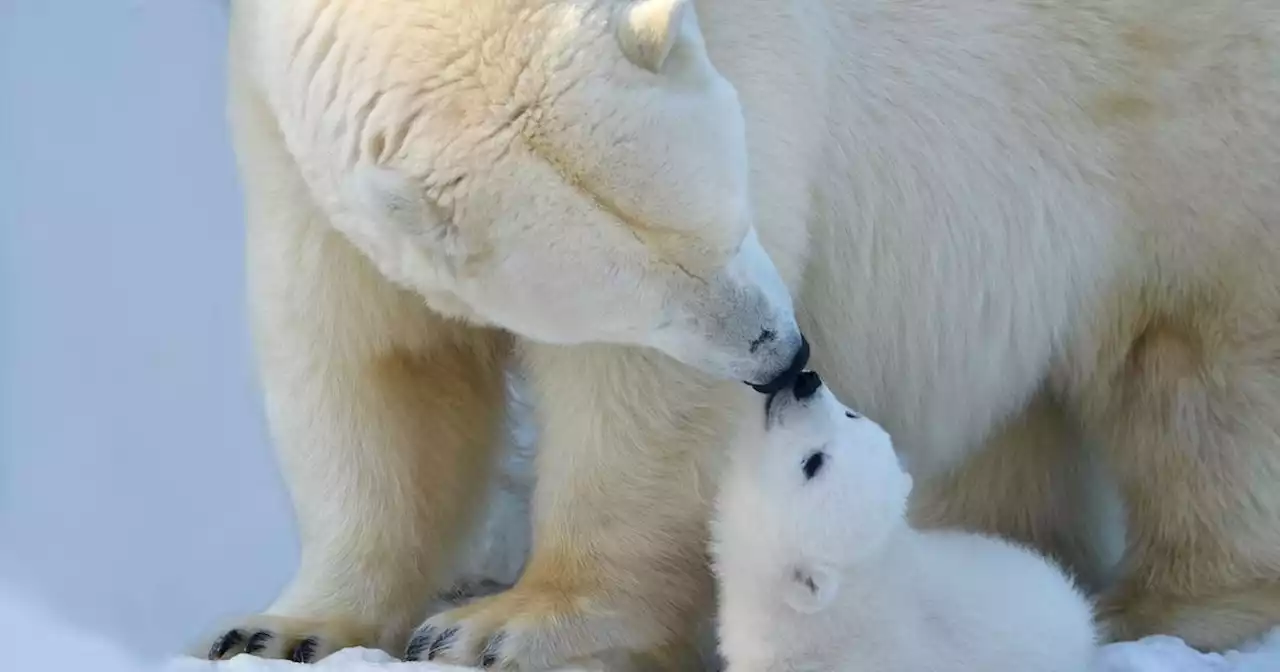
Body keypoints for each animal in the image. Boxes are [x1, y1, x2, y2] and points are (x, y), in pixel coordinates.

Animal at [212, 0, 1280, 660]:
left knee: (1201, 367)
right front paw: (283, 630)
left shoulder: (755, 52)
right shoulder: (292, 139)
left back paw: (1174, 605)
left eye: (737, 217)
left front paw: (502, 626)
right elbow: (373, 363)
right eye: (644, 297)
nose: (787, 358)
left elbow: (639, 404)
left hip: (1179, 121)